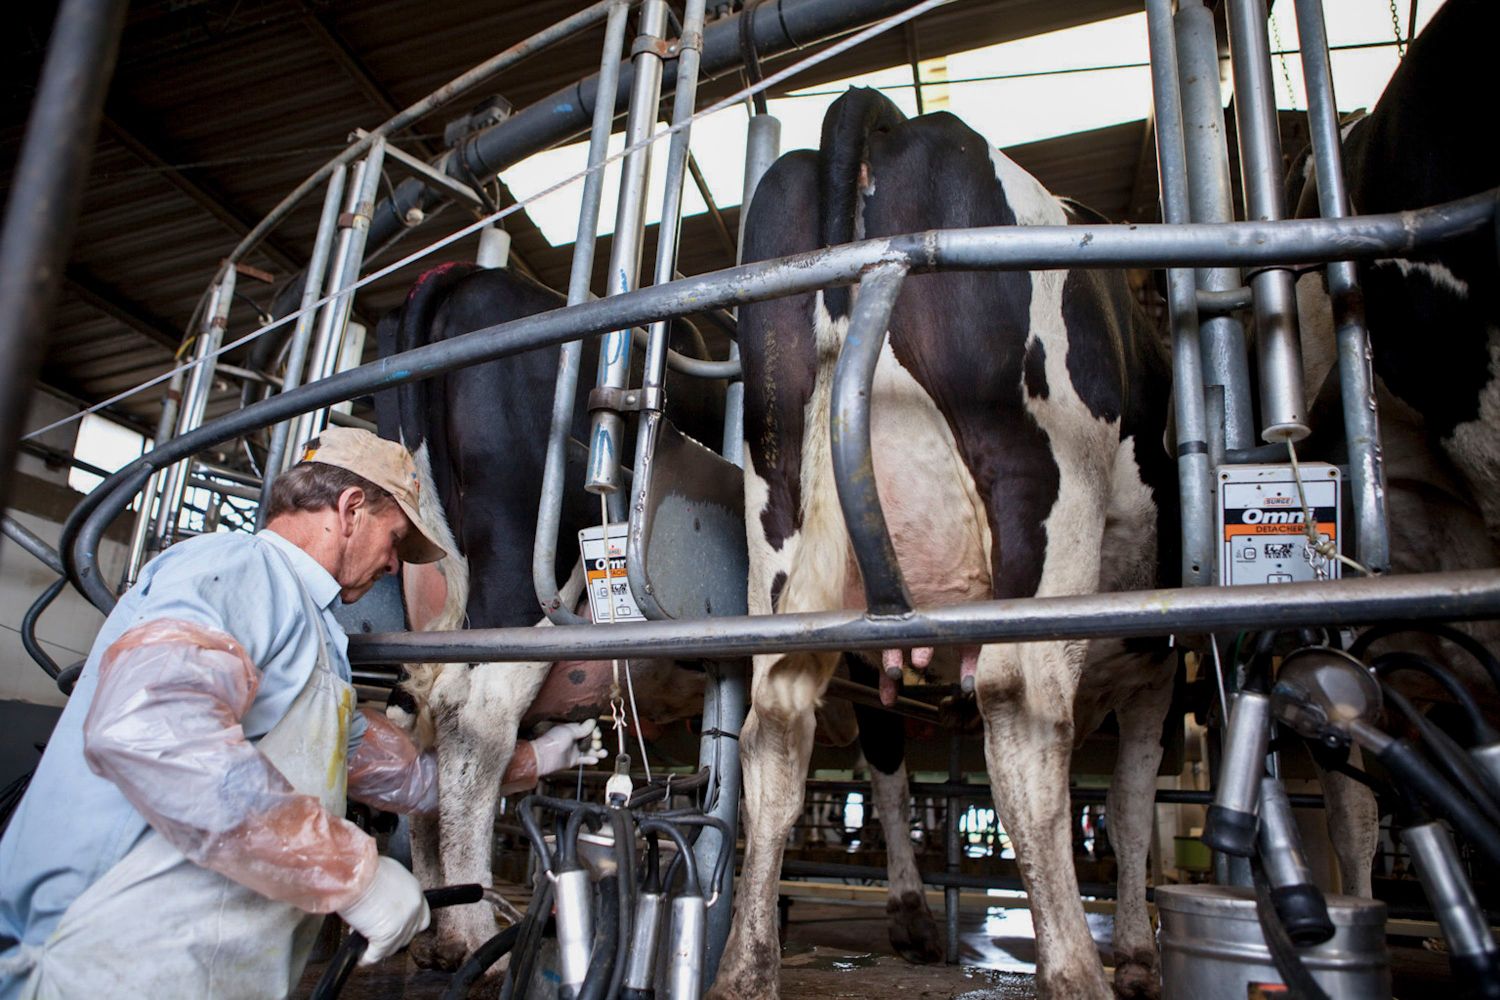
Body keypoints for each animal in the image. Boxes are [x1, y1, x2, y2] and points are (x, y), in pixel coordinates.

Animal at [714, 89, 1182, 995]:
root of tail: (889, 118)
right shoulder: (1157, 659)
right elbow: (1133, 806)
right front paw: (1141, 953)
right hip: (1044, 493)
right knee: (1024, 722)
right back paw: (1074, 968)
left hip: (780, 515)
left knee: (778, 725)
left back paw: (747, 968)